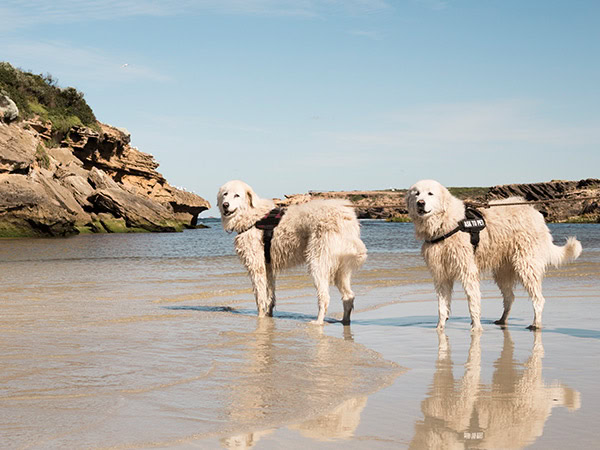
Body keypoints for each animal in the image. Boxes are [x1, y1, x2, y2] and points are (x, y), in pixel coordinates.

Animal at [216, 179, 366, 324]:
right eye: (225, 194)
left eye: (237, 195)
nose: (225, 205)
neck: (252, 216)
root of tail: (348, 218)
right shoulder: (268, 266)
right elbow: (270, 296)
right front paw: (268, 316)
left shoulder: (256, 266)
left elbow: (260, 298)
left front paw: (260, 318)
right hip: (340, 268)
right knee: (348, 296)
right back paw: (344, 321)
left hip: (318, 261)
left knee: (325, 297)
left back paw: (318, 322)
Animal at [406, 178, 580, 330]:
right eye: (417, 193)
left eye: (430, 193)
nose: (420, 203)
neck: (445, 223)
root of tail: (537, 215)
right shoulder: (441, 274)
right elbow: (442, 306)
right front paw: (440, 327)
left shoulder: (467, 270)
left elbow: (473, 301)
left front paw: (476, 328)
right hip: (503, 271)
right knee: (510, 297)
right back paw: (502, 320)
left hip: (526, 264)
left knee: (538, 299)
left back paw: (536, 323)